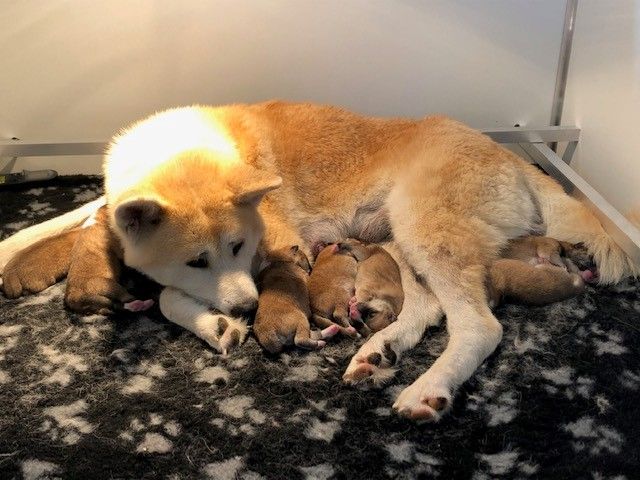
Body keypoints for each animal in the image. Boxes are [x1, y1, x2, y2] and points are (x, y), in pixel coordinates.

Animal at [0, 99, 636, 422]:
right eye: (198, 259)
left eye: (236, 248)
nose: (248, 307)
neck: (184, 152)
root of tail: (514, 157)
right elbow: (80, 213)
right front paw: (14, 242)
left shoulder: (276, 247)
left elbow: (163, 296)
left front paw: (213, 322)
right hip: (397, 243)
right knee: (428, 309)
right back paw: (379, 353)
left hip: (425, 230)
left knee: (479, 325)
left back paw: (426, 388)